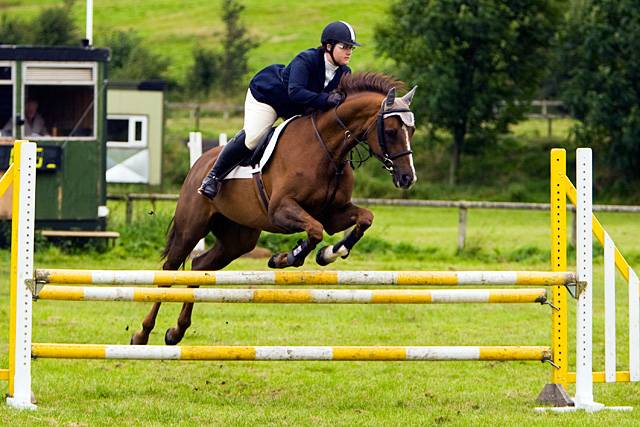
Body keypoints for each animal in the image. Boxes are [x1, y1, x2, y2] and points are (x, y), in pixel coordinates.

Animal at [131, 72, 420, 348]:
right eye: (391, 131)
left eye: (412, 130)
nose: (407, 178)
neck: (327, 149)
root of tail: (200, 163)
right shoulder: (281, 210)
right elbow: (314, 231)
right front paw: (285, 258)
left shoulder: (333, 214)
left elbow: (364, 219)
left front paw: (329, 253)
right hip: (191, 227)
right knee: (169, 271)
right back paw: (142, 334)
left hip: (238, 239)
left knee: (199, 265)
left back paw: (176, 332)